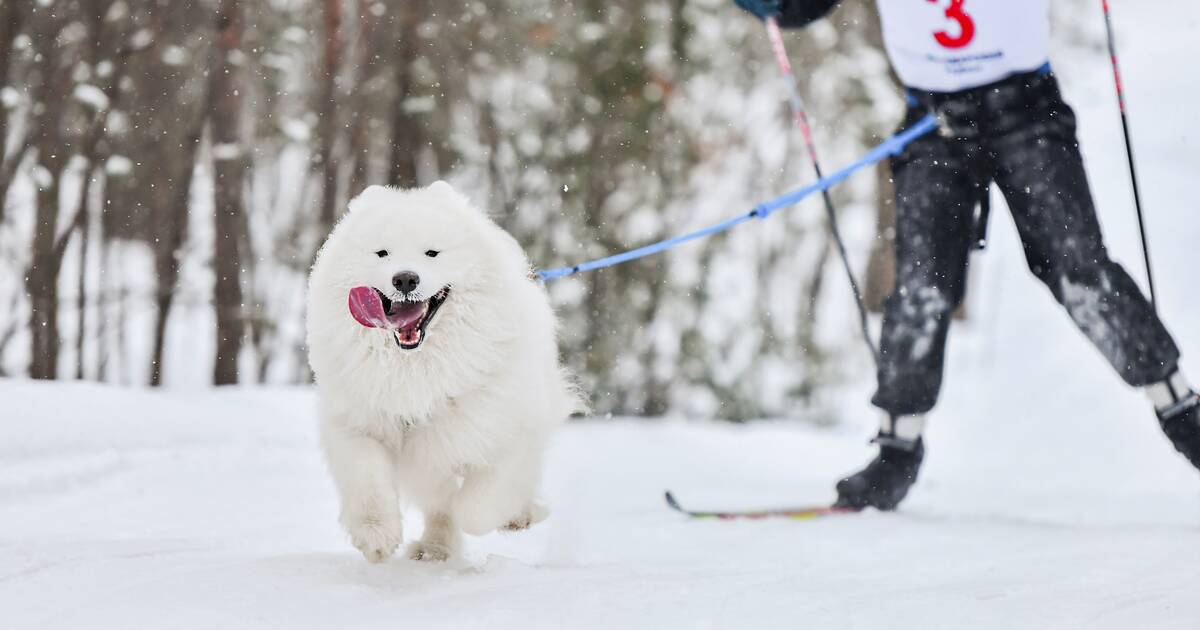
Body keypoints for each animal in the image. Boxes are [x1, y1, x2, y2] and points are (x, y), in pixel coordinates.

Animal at [304, 180, 576, 559]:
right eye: (382, 253)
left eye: (432, 253)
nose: (405, 279)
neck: (415, 366)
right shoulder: (359, 423)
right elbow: (368, 478)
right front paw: (376, 536)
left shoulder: (503, 426)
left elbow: (477, 507)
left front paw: (510, 516)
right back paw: (434, 548)